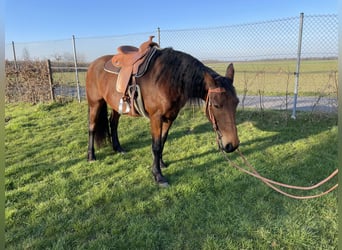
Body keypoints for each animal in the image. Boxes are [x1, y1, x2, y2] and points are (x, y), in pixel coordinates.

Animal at [87, 46, 239, 186]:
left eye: (236, 102)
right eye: (216, 105)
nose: (232, 145)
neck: (168, 79)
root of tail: (93, 64)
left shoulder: (170, 117)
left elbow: (162, 142)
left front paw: (161, 164)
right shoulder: (156, 118)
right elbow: (156, 145)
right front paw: (158, 175)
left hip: (116, 106)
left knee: (113, 123)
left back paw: (118, 148)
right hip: (95, 103)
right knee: (92, 127)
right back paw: (91, 156)